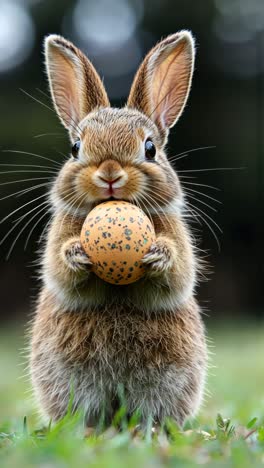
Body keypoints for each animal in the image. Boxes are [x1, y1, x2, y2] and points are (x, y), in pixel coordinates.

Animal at [29, 30, 207, 432]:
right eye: (76, 147)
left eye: (150, 148)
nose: (109, 172)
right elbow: (61, 273)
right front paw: (76, 254)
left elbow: (177, 274)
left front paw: (158, 254)